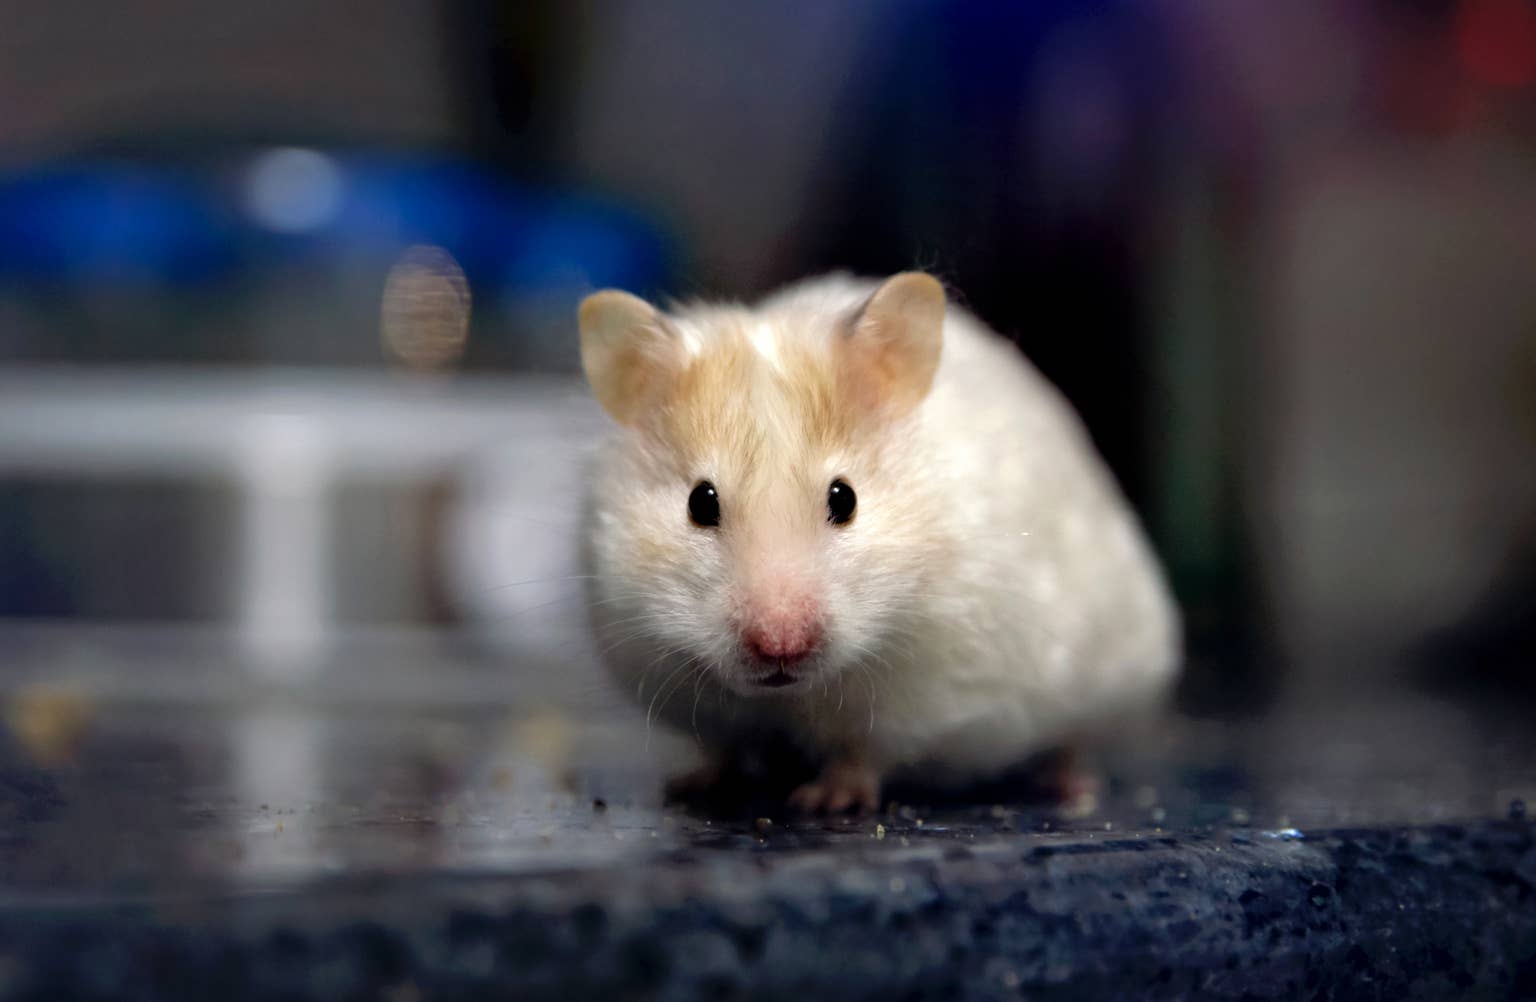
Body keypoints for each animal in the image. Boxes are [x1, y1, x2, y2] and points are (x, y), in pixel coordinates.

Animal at [576, 272, 1180, 813]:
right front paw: (691, 785)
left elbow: (865, 752)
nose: (781, 647)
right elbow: (720, 748)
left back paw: (1071, 787)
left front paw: (824, 802)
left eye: (844, 499)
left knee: (1076, 740)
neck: (792, 695)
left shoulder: (919, 697)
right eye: (701, 503)